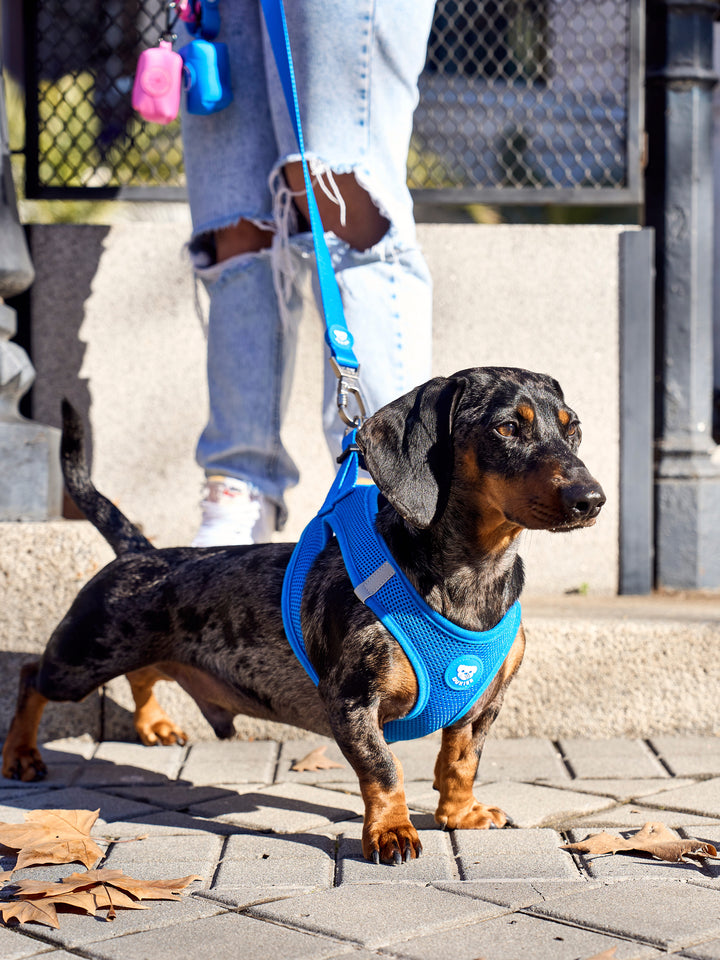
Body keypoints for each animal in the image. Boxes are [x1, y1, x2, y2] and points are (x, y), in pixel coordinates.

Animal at [2, 368, 604, 864]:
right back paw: (22, 755)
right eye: (507, 428)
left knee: (144, 672)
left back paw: (154, 724)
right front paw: (391, 831)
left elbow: (461, 761)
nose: (592, 499)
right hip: (82, 658)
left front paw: (461, 814)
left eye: (572, 428)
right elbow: (384, 770)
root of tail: (138, 551)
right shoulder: (352, 700)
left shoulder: (483, 705)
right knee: (33, 676)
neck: (472, 576)